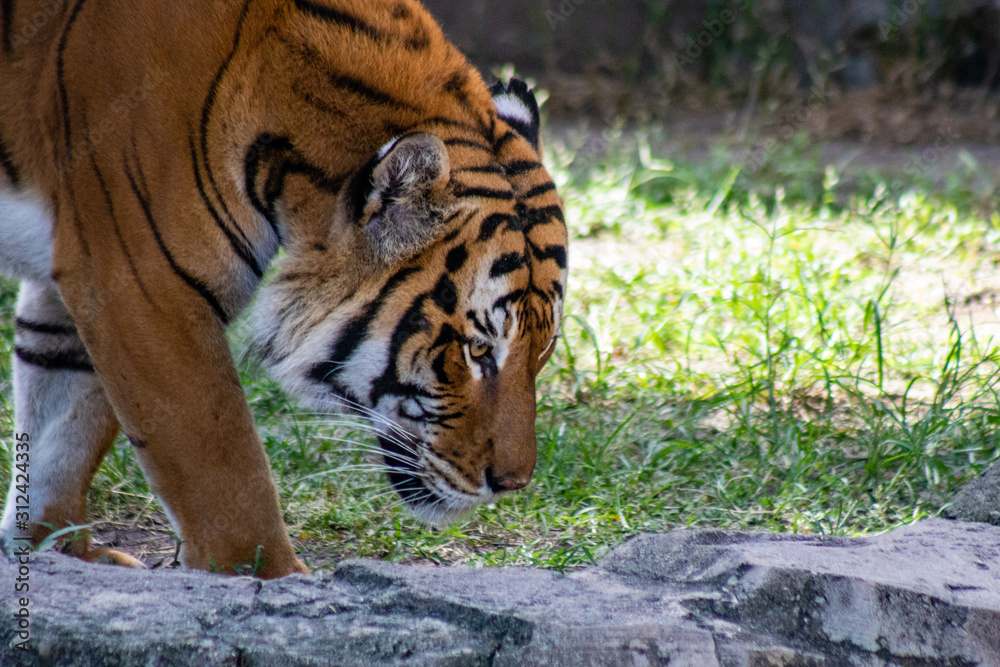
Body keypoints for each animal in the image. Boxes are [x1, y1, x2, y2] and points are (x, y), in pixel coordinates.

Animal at [0, 0, 567, 578]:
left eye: (544, 349)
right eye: (477, 350)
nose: (513, 484)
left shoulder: (81, 277)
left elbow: (60, 425)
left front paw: (54, 552)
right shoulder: (144, 286)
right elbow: (225, 471)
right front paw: (273, 579)